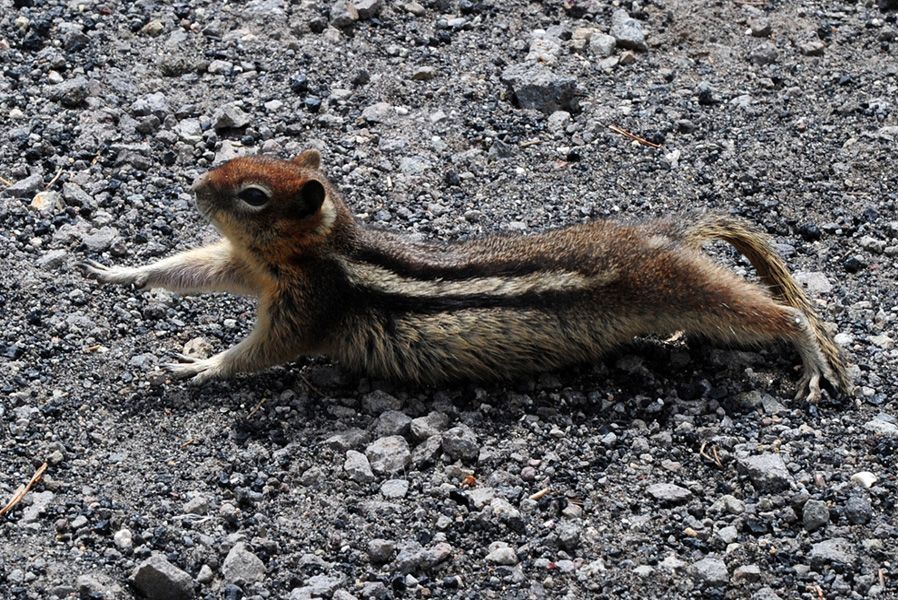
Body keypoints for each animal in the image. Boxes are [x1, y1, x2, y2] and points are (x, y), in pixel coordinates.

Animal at [82, 150, 848, 404]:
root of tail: (663, 232)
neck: (323, 251)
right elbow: (193, 267)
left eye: (252, 195)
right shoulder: (249, 269)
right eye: (235, 158)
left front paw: (200, 367)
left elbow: (262, 351)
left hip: (677, 286)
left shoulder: (306, 305)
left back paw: (808, 357)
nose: (193, 186)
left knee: (779, 313)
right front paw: (118, 269)